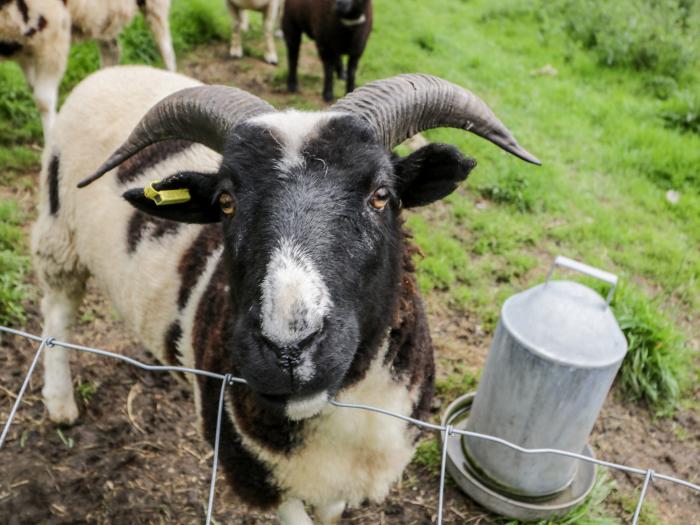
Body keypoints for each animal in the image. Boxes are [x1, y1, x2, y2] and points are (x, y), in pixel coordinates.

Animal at [0, 0, 175, 141]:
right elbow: (32, 87)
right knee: (112, 50)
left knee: (165, 49)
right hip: (103, 18)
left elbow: (43, 101)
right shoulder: (22, 50)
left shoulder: (54, 33)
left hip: (153, 5)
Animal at [32, 65, 540, 524]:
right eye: (225, 202)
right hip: (58, 232)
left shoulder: (343, 481)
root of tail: (110, 70)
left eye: (381, 195)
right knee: (57, 311)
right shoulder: (257, 474)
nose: (289, 348)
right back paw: (60, 403)